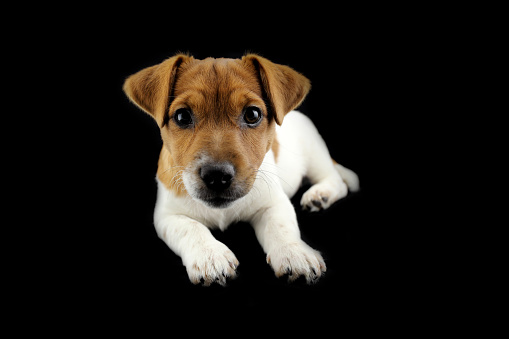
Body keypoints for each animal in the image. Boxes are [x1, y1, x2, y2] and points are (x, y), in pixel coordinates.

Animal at [123, 53, 360, 286]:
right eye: (182, 116)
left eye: (252, 114)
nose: (217, 176)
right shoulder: (167, 215)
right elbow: (191, 228)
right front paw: (210, 255)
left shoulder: (273, 203)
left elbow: (281, 227)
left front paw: (295, 253)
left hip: (314, 153)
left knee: (336, 179)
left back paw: (320, 195)